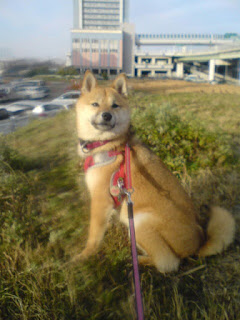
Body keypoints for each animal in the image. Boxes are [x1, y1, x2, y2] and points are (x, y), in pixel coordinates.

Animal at [74, 70, 235, 272]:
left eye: (115, 105)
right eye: (95, 104)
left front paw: (84, 256)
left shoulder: (101, 201)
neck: (108, 145)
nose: (107, 115)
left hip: (137, 220)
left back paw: (139, 260)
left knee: (168, 262)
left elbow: (93, 236)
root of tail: (199, 243)